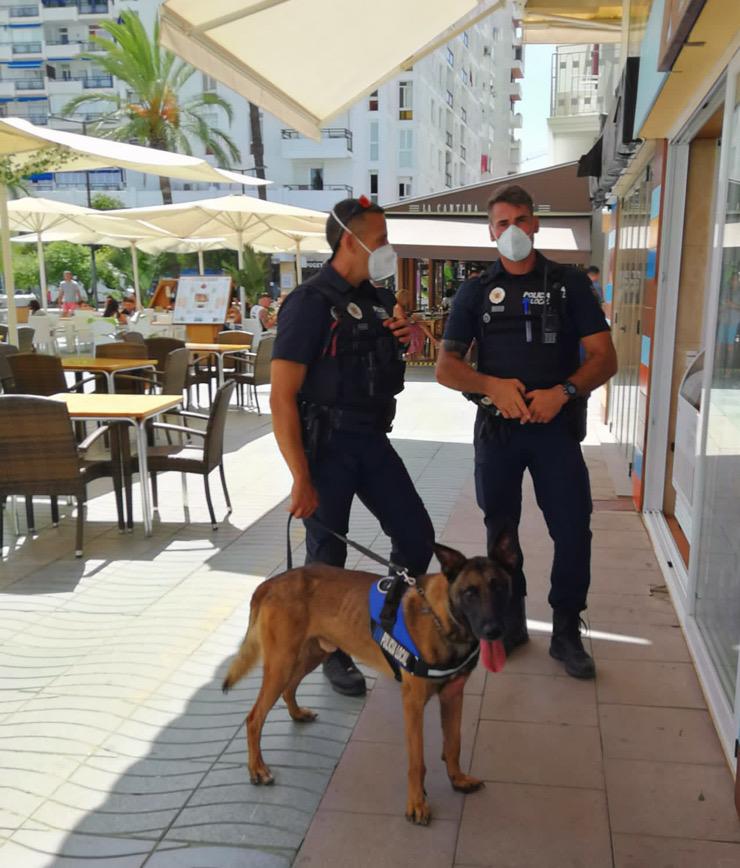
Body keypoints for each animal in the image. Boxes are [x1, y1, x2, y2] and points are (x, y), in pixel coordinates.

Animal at [223, 532, 516, 824]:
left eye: (500, 587)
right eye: (470, 593)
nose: (494, 631)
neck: (439, 617)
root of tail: (270, 583)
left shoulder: (453, 696)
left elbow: (453, 744)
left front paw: (457, 779)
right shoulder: (413, 703)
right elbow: (417, 761)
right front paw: (416, 802)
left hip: (310, 655)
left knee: (289, 689)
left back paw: (296, 714)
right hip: (282, 663)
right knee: (254, 718)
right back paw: (257, 769)